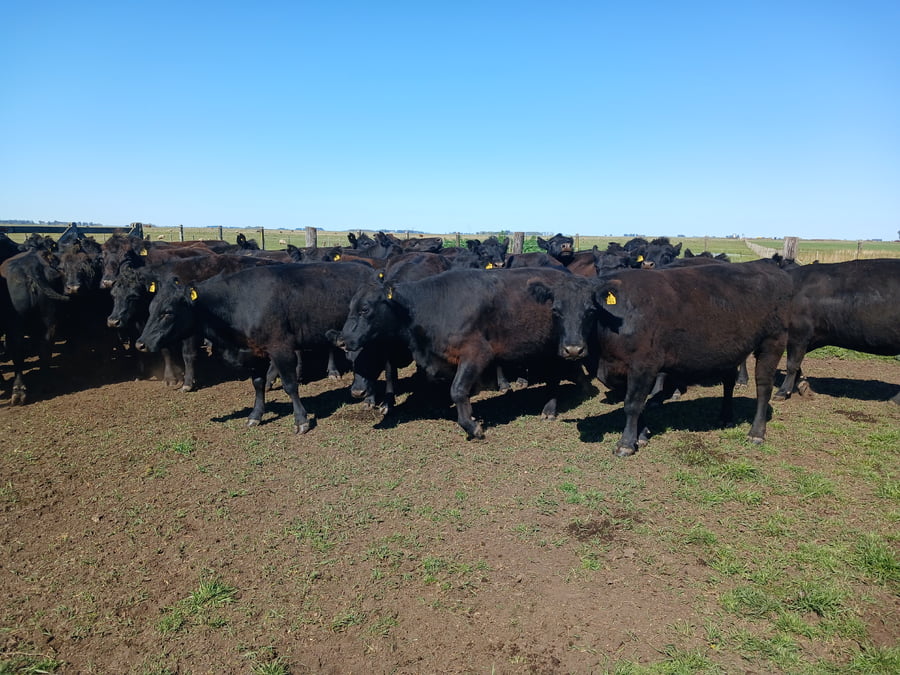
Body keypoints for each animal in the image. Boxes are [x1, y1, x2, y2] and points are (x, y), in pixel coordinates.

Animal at [135, 262, 375, 432]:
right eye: (150, 308)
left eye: (167, 312)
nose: (140, 343)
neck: (238, 303)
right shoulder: (255, 353)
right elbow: (257, 384)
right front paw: (255, 416)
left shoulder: (281, 348)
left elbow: (290, 385)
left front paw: (301, 420)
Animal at [338, 267, 578, 439]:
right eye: (350, 307)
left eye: (365, 309)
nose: (342, 339)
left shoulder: (476, 353)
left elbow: (457, 390)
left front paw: (472, 427)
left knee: (555, 376)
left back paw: (549, 409)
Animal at [527, 259, 792, 456]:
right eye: (555, 311)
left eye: (591, 310)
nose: (573, 349)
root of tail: (769, 267)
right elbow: (635, 402)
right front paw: (642, 434)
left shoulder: (644, 364)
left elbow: (632, 404)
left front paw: (626, 444)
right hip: (728, 349)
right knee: (728, 381)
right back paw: (725, 417)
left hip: (773, 342)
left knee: (763, 387)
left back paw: (756, 433)